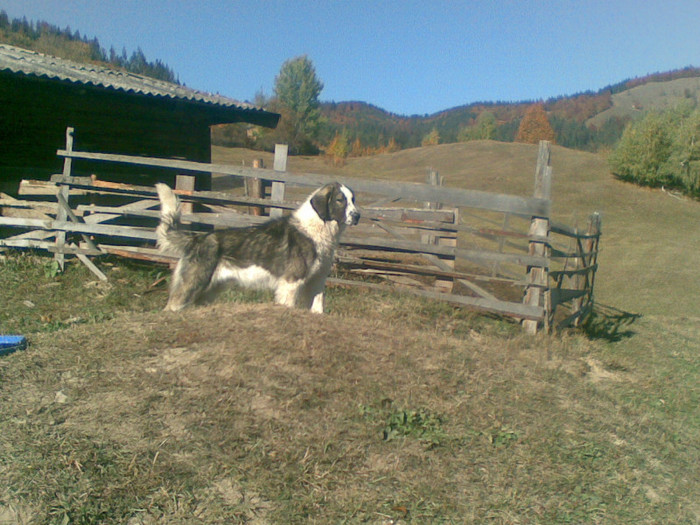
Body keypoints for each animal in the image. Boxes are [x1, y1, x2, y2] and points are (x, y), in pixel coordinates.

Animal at [155, 181, 358, 312]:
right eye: (340, 200)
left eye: (353, 200)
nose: (357, 216)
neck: (318, 228)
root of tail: (197, 238)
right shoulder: (291, 282)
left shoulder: (316, 282)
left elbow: (318, 307)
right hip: (193, 284)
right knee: (172, 306)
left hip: (208, 290)